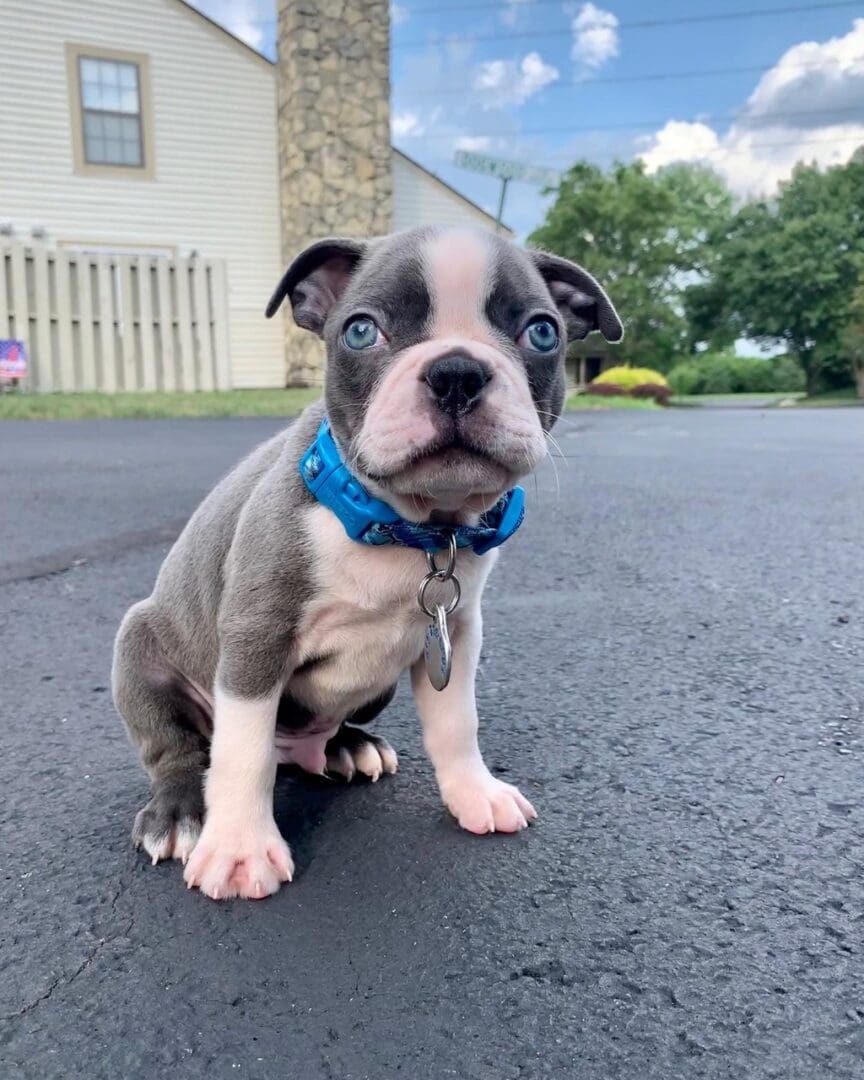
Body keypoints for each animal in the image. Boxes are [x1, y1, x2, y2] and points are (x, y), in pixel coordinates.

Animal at [111, 223, 622, 898]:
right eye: (360, 331)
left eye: (542, 332)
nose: (456, 371)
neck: (407, 528)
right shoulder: (255, 637)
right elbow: (241, 750)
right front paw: (240, 849)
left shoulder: (454, 635)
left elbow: (458, 724)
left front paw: (474, 793)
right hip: (141, 650)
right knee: (182, 749)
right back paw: (177, 813)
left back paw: (346, 748)